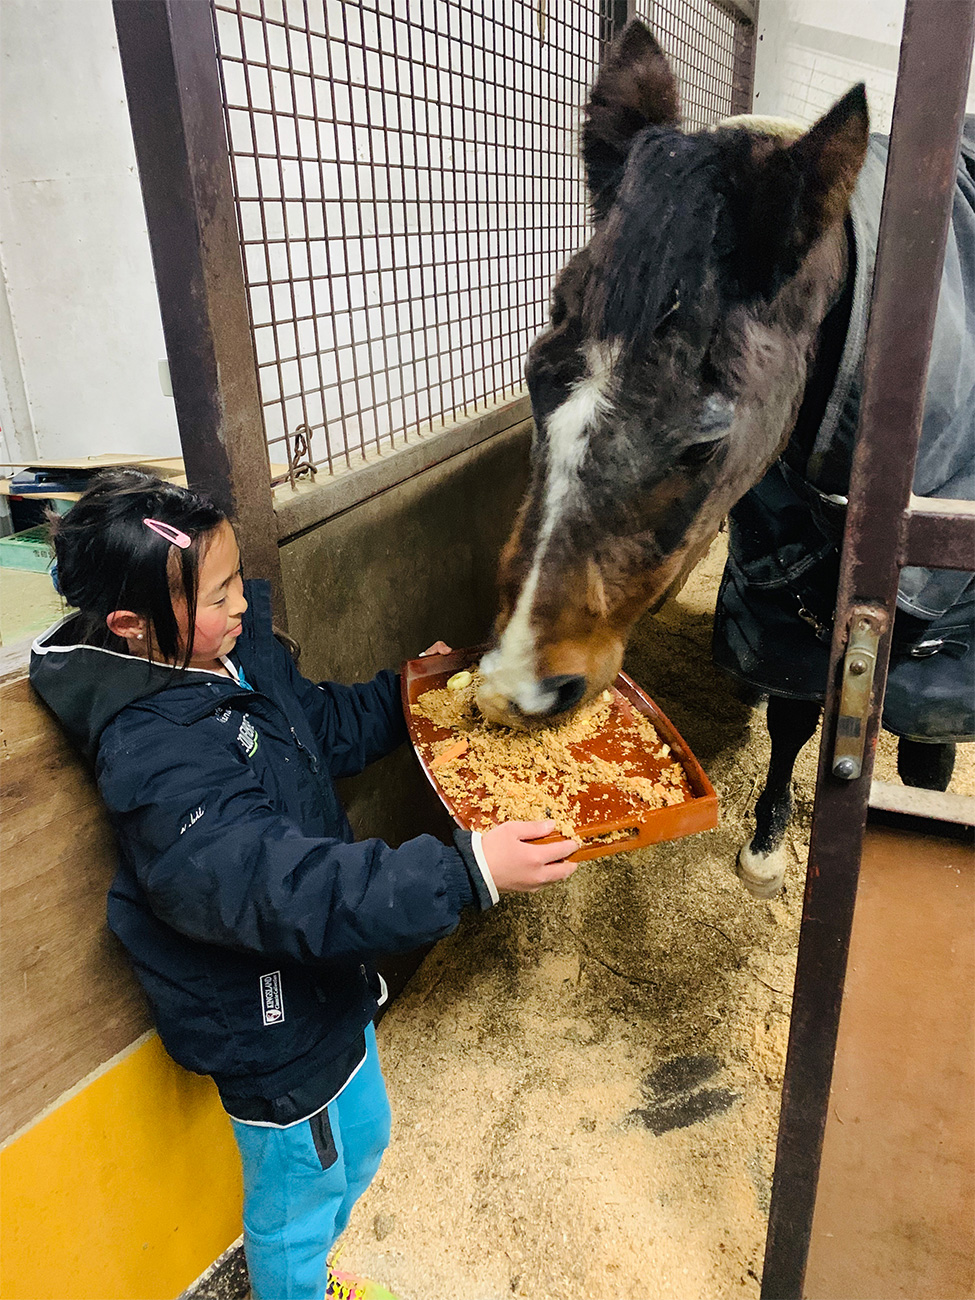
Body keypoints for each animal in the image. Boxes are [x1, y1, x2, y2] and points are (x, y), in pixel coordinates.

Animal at [478, 22, 972, 894]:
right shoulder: (775, 591)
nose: (515, 687)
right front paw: (769, 841)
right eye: (534, 375)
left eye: (706, 439)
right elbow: (795, 711)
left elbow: (926, 751)